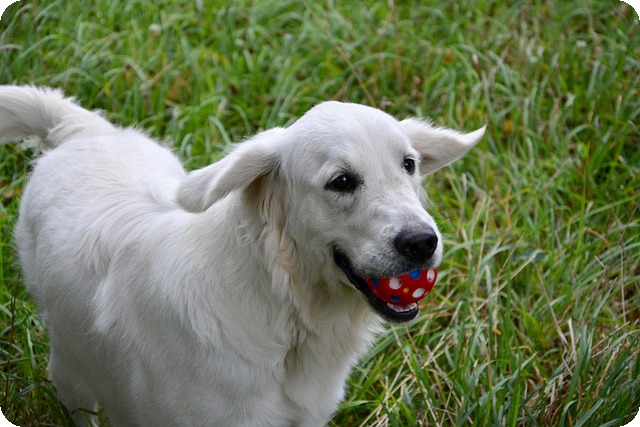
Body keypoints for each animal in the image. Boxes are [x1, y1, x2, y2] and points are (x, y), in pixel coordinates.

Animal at [0, 85, 484, 426]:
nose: (422, 242)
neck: (285, 315)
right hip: (69, 361)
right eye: (342, 181)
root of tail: (83, 131)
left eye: (408, 165)